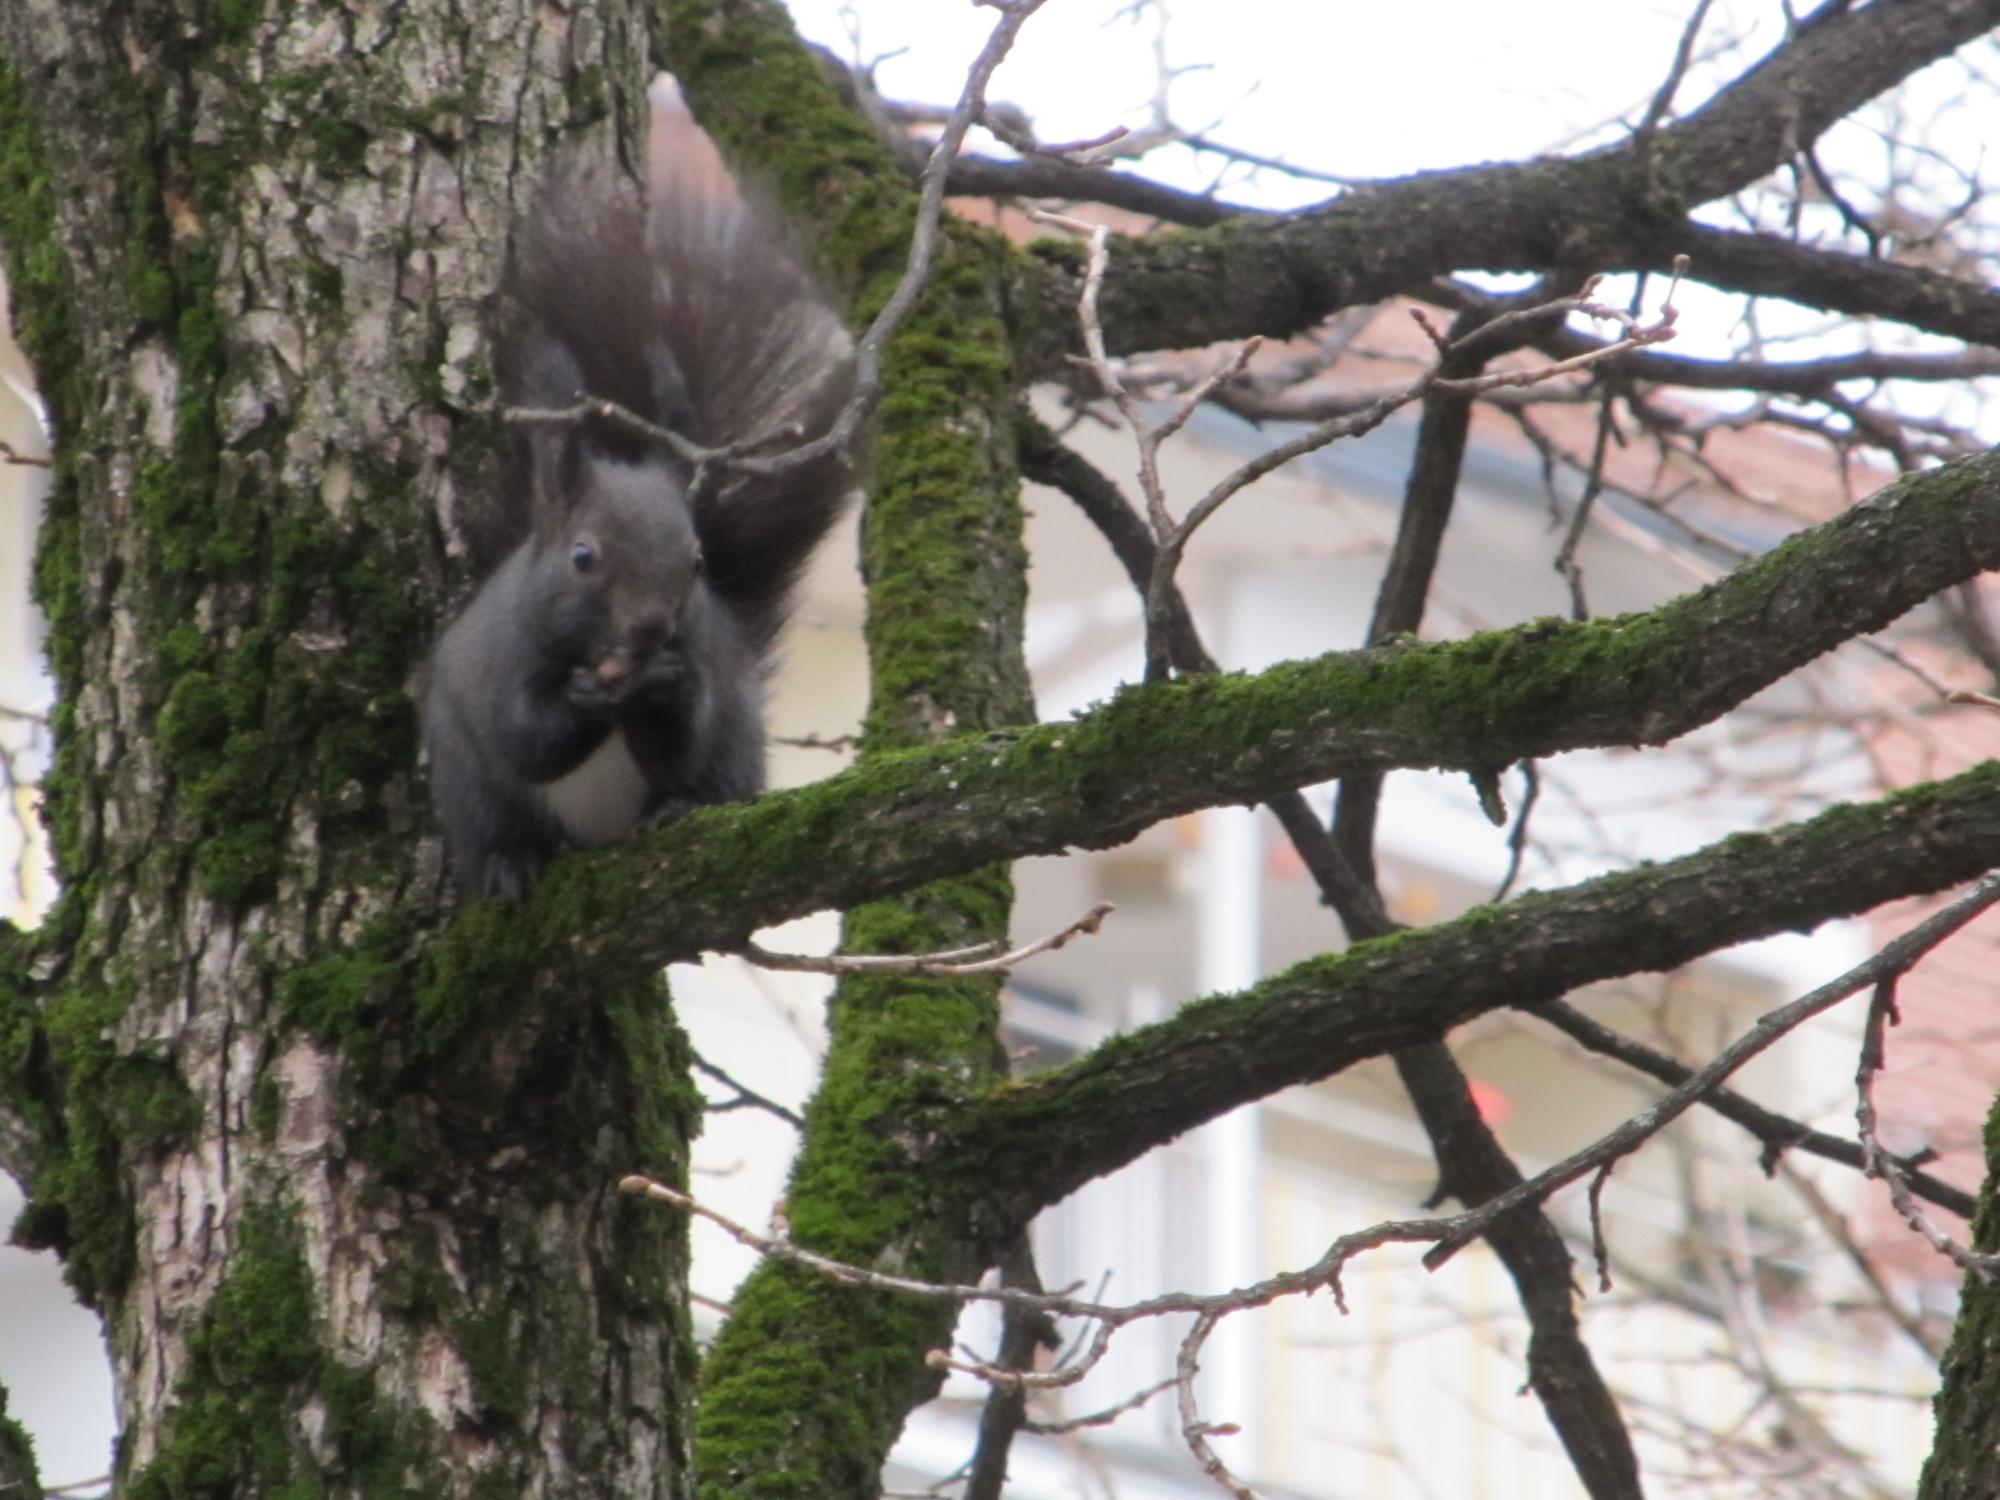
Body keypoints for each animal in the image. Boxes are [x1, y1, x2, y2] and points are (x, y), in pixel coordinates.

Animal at [423, 103, 855, 900]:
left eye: (697, 563)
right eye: (582, 556)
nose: (653, 627)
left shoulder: (708, 662)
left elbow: (681, 741)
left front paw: (665, 687)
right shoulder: (501, 660)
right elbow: (525, 740)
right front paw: (584, 701)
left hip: (739, 744)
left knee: (704, 778)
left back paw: (678, 811)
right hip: (468, 788)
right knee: (497, 820)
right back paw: (509, 863)